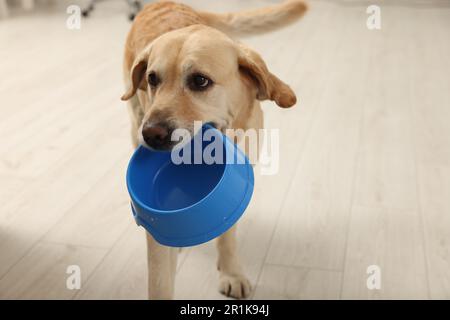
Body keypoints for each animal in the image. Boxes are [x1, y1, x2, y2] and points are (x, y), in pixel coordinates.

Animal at [121, 0, 308, 300]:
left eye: (200, 81)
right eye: (152, 79)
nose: (151, 135)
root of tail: (160, 3)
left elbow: (228, 232)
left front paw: (231, 272)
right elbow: (160, 278)